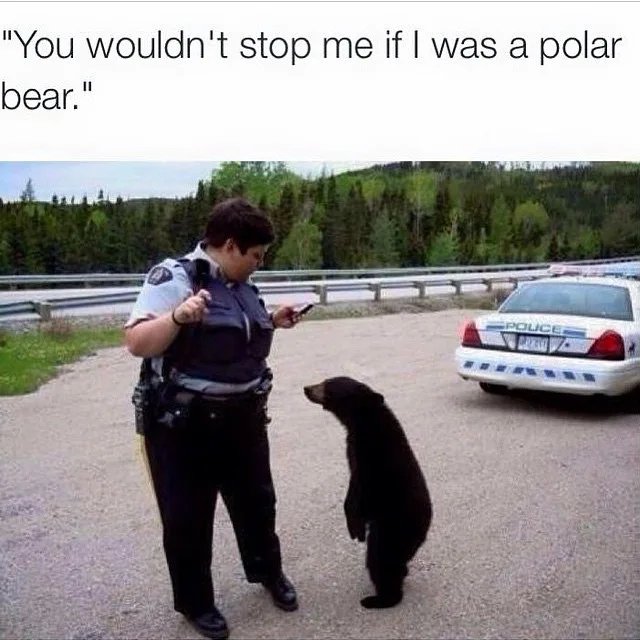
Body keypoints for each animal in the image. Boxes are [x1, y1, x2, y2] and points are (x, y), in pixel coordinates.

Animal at [303, 376, 432, 609]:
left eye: (328, 384)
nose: (306, 388)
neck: (362, 422)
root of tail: (423, 532)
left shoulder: (371, 457)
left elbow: (359, 491)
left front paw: (355, 526)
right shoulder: (353, 449)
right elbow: (352, 484)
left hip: (392, 528)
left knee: (380, 558)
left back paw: (379, 599)